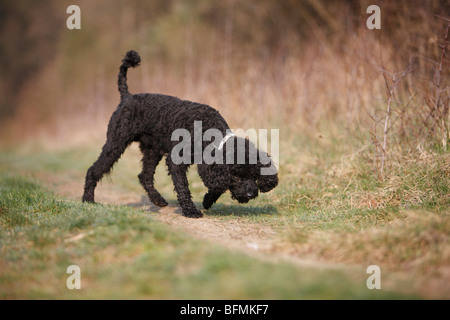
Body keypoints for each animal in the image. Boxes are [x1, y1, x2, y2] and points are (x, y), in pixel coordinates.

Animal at [81, 50, 278, 218]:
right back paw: (88, 200)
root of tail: (127, 96)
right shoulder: (176, 162)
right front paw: (191, 211)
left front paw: (207, 201)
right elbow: (184, 187)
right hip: (116, 143)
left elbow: (217, 184)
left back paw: (158, 200)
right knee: (93, 170)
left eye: (254, 174)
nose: (251, 193)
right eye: (237, 176)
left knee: (144, 176)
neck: (207, 130)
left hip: (152, 150)